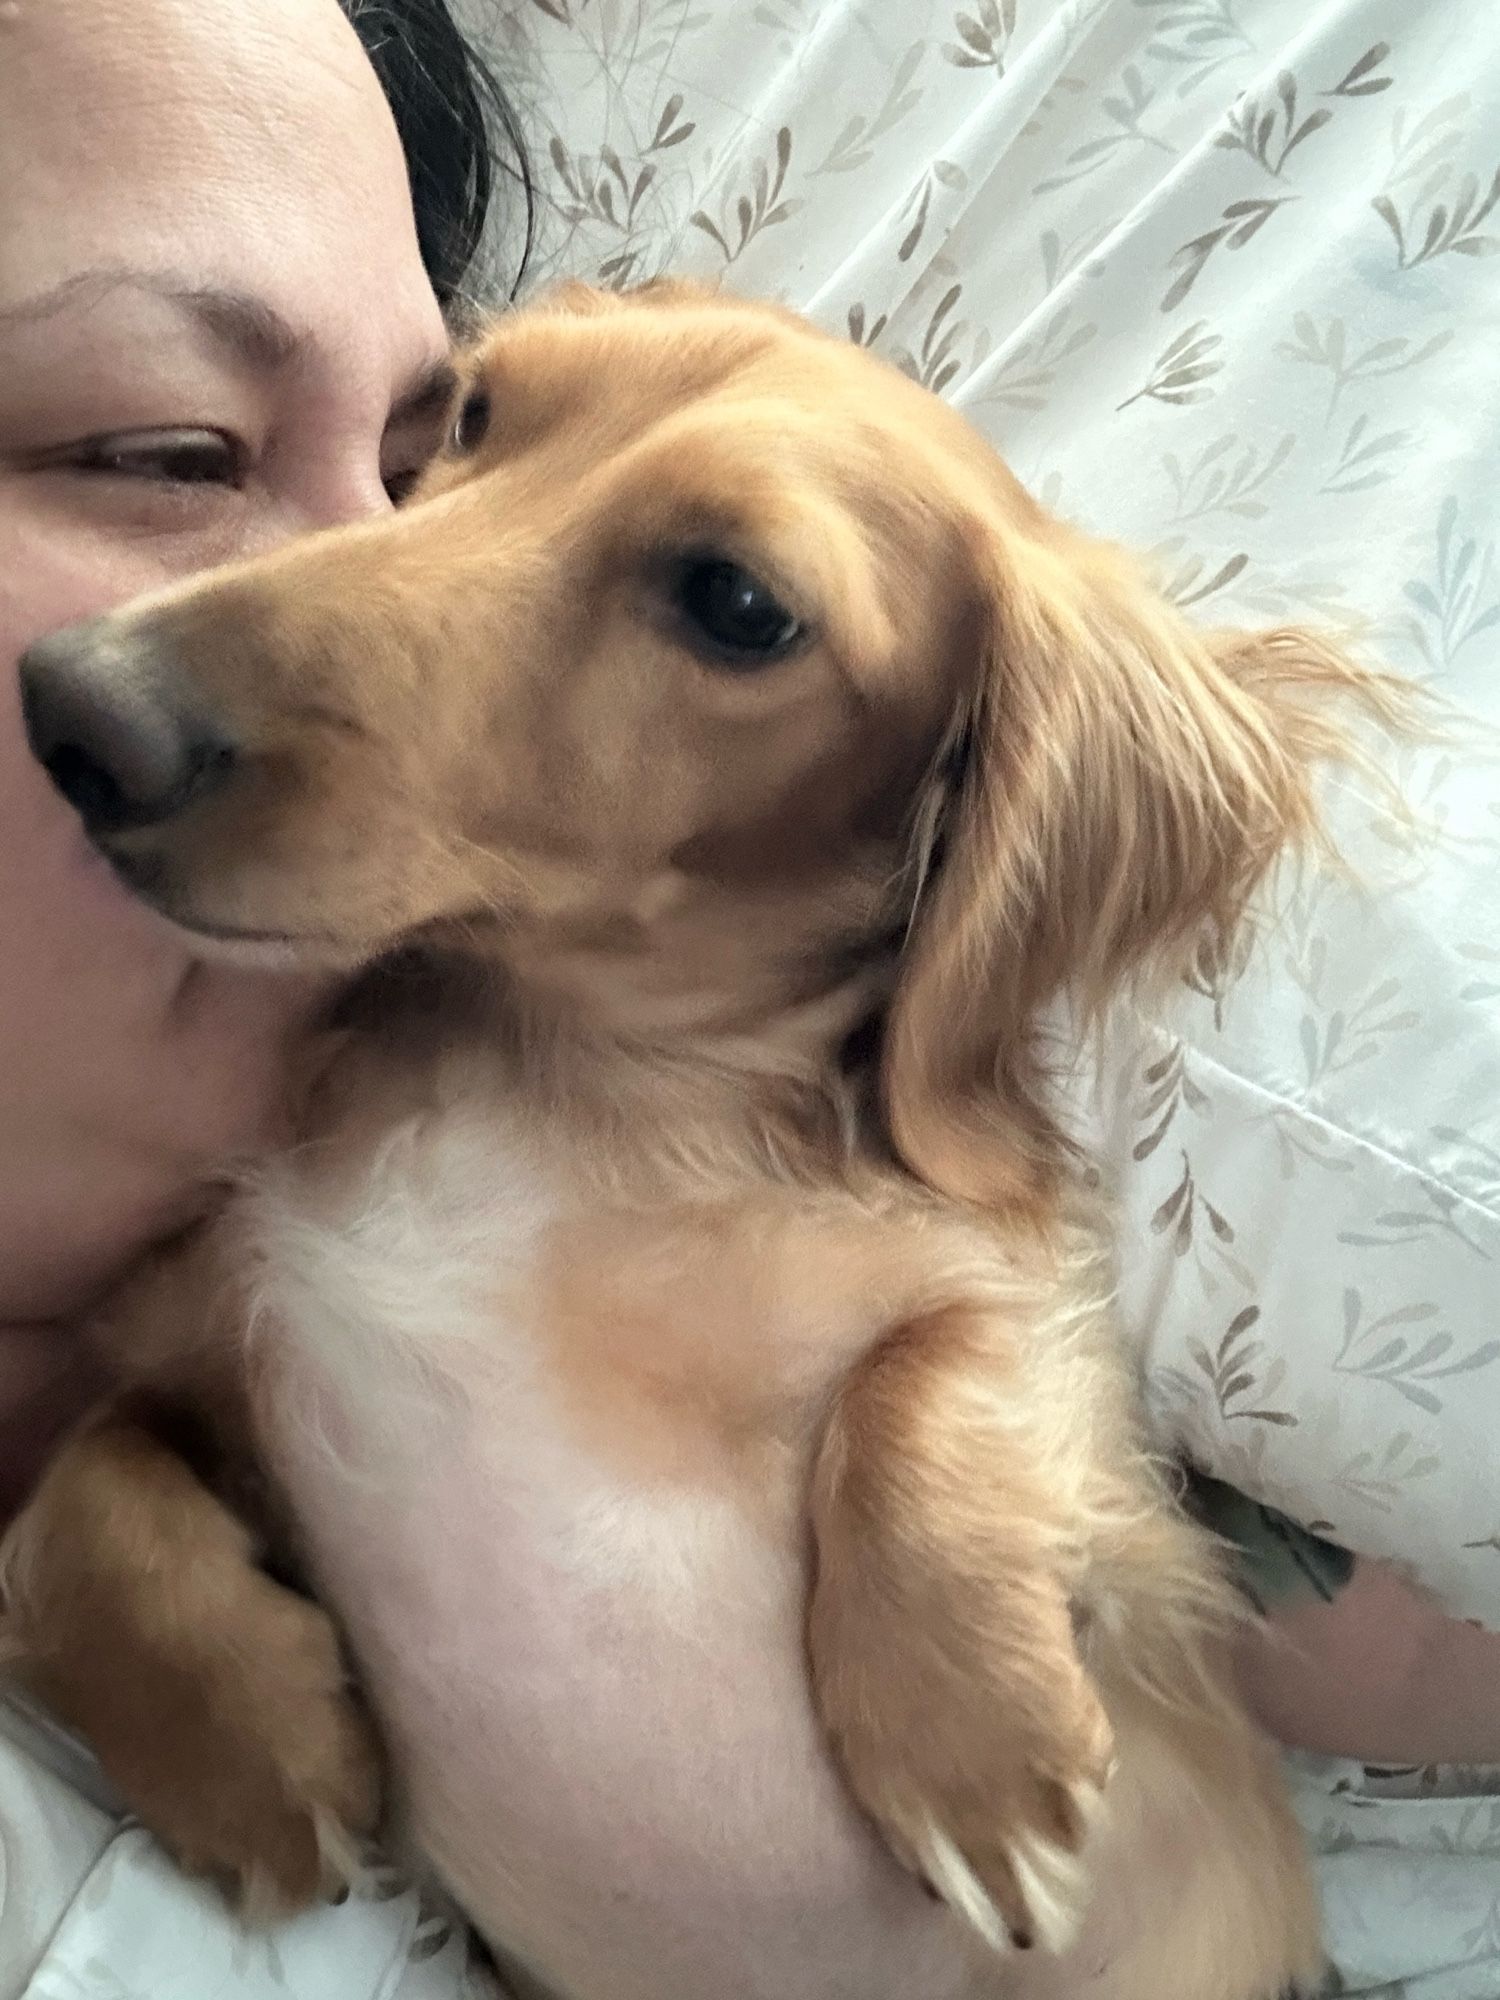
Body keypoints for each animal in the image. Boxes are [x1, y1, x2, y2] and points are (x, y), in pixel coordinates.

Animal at [2, 282, 1400, 2000]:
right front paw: (241, 1748)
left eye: (737, 602)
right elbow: (75, 1488)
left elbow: (943, 1360)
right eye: (475, 414)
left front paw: (968, 1737)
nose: (79, 707)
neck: (558, 1089)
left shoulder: (1042, 1329)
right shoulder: (221, 1344)